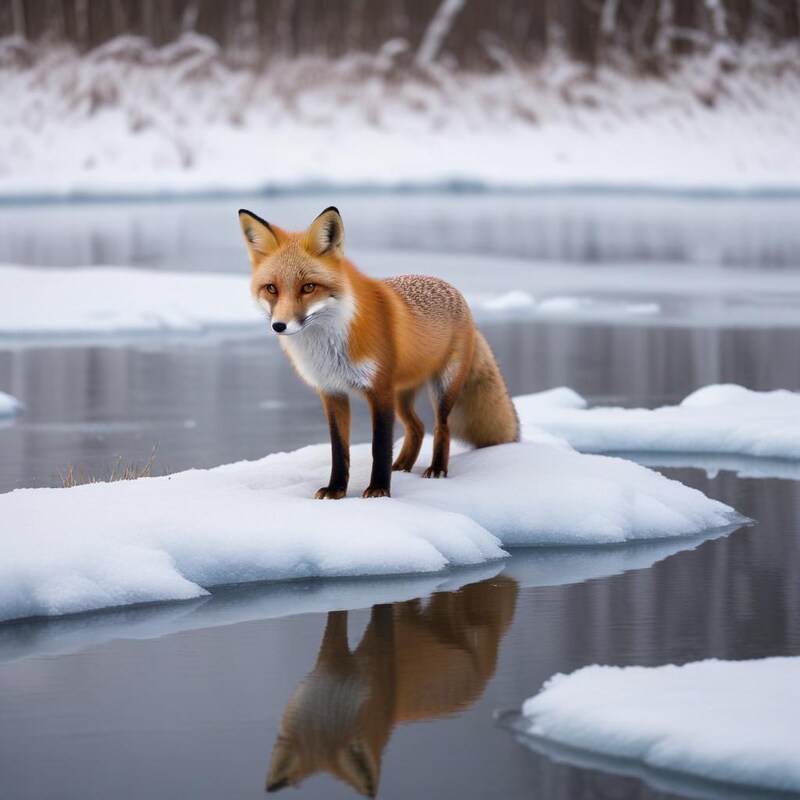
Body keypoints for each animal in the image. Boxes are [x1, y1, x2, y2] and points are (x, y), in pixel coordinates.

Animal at [238, 206, 519, 499]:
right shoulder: (332, 392)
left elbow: (379, 447)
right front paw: (336, 490)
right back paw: (403, 466)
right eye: (272, 288)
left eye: (308, 287)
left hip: (442, 387)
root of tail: (455, 291)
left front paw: (379, 489)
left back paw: (436, 469)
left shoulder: (380, 390)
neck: (329, 349)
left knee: (442, 427)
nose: (279, 326)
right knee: (417, 427)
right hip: (403, 395)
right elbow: (339, 449)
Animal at [266, 576, 519, 796]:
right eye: (310, 721)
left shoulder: (379, 656)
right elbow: (335, 619)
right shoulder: (329, 659)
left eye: (340, 722)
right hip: (414, 616)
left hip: (458, 616)